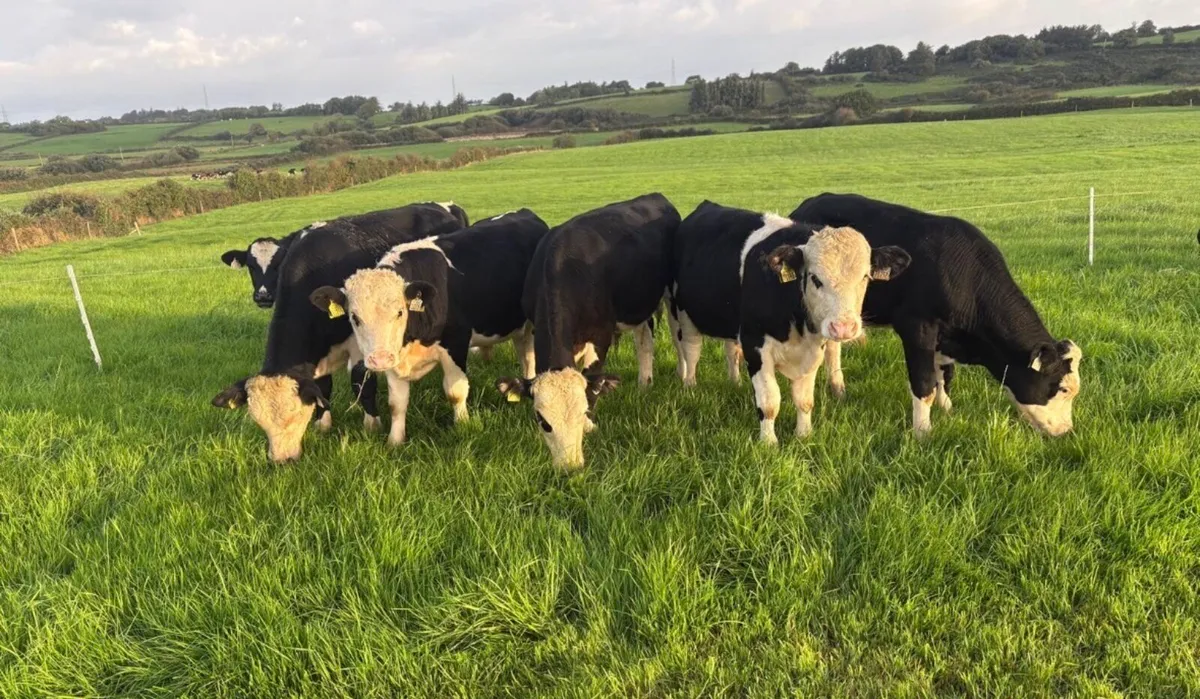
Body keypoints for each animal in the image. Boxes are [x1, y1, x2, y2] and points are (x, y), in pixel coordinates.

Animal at [211, 218, 449, 462]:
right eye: (259, 422)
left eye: (296, 415)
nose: (282, 460)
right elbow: (323, 387)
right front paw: (323, 424)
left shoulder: (359, 345)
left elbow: (361, 383)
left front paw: (372, 425)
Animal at [308, 210, 550, 446]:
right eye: (354, 317)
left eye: (400, 312)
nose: (379, 360)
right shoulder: (396, 356)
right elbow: (396, 403)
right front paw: (395, 441)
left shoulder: (455, 344)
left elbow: (455, 392)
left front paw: (463, 424)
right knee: (524, 351)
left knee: (529, 355)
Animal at [495, 193, 681, 471]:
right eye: (543, 421)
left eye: (582, 412)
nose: (570, 466)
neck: (564, 268)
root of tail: (655, 196)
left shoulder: (600, 336)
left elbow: (593, 380)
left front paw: (590, 426)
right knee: (644, 340)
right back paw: (644, 383)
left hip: (670, 296)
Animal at [669, 201, 910, 444]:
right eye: (814, 278)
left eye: (865, 277)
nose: (843, 327)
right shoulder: (755, 344)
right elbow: (769, 401)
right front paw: (768, 443)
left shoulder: (813, 350)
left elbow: (804, 400)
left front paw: (804, 435)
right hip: (682, 313)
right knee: (691, 350)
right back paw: (690, 386)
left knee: (730, 349)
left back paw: (734, 382)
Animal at [790, 193, 1083, 437]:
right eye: (1063, 389)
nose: (1066, 430)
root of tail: (813, 200)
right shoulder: (917, 329)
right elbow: (924, 384)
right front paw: (923, 432)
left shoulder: (946, 337)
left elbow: (945, 374)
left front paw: (947, 408)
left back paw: (839, 389)